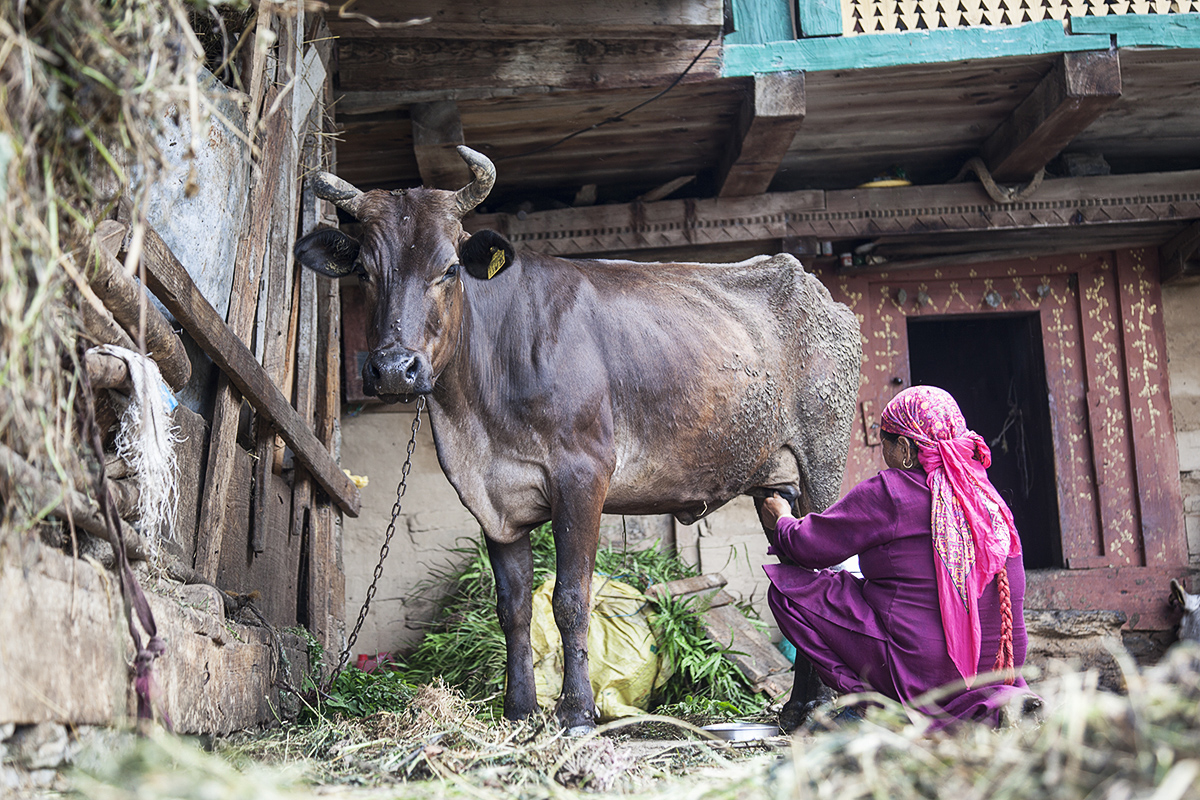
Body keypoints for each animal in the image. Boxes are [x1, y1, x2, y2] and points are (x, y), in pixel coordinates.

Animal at [297, 146, 864, 734]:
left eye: (449, 268)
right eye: (364, 271)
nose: (392, 369)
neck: (475, 421)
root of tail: (807, 282)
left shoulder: (583, 473)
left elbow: (570, 598)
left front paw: (576, 711)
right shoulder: (492, 500)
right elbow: (514, 606)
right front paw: (519, 709)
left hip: (823, 457)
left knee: (826, 569)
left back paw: (823, 707)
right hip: (774, 482)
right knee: (797, 571)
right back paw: (797, 708)